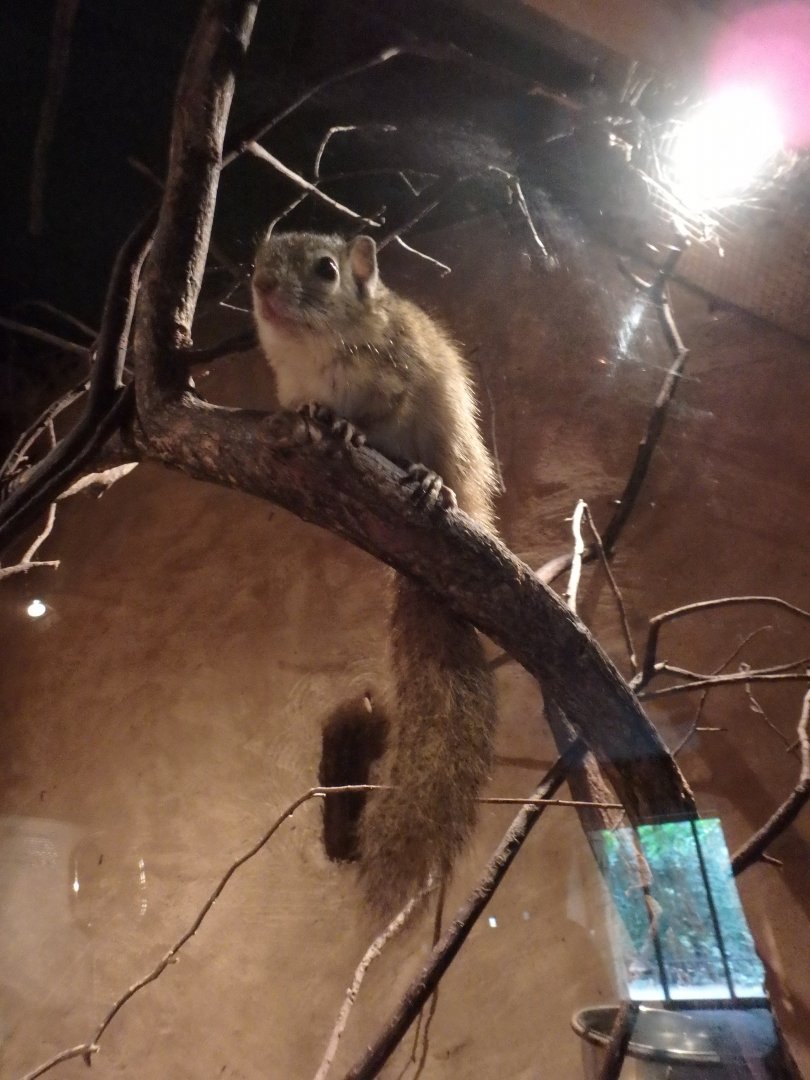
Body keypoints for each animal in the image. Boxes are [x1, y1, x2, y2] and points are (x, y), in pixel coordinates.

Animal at [251, 229, 499, 914]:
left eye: (325, 270)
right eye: (259, 257)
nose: (262, 287)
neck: (312, 348)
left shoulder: (396, 378)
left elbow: (380, 411)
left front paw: (347, 425)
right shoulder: (288, 389)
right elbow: (301, 405)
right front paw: (317, 415)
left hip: (452, 447)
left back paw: (435, 485)